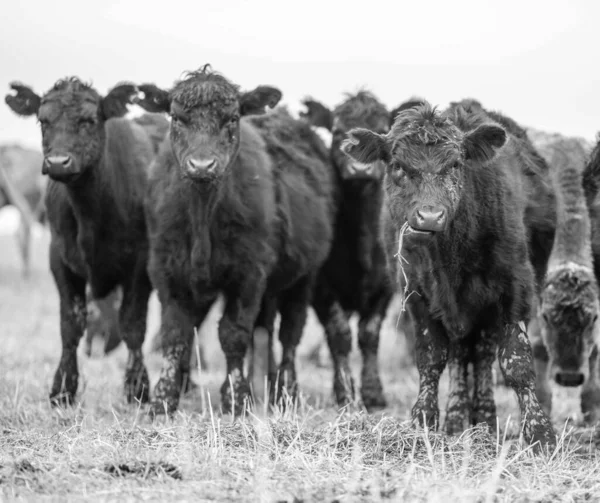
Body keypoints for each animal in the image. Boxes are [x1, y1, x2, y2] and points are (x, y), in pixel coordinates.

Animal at [4, 79, 169, 410]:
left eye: (89, 120)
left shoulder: (139, 266)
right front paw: (62, 390)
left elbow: (132, 325)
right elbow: (70, 324)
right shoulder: (60, 260)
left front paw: (137, 387)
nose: (58, 162)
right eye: (43, 120)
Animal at [134, 65, 338, 416]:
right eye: (176, 118)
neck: (202, 215)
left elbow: (233, 334)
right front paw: (163, 399)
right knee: (264, 328)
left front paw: (235, 396)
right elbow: (174, 333)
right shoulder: (165, 269)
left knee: (289, 333)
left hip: (304, 277)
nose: (202, 165)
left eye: (232, 118)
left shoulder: (249, 274)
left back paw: (286, 390)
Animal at [298, 90, 394, 412]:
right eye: (338, 132)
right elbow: (339, 335)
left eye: (383, 131)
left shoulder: (386, 286)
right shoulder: (321, 287)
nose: (361, 169)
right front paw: (345, 393)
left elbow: (369, 335)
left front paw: (374, 393)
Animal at [340, 101, 556, 448]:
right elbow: (431, 358)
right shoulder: (416, 293)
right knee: (460, 355)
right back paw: (457, 419)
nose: (429, 216)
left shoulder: (516, 287)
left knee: (482, 355)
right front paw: (423, 421)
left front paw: (540, 433)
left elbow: (517, 361)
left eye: (455, 164)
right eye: (398, 166)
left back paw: (484, 418)